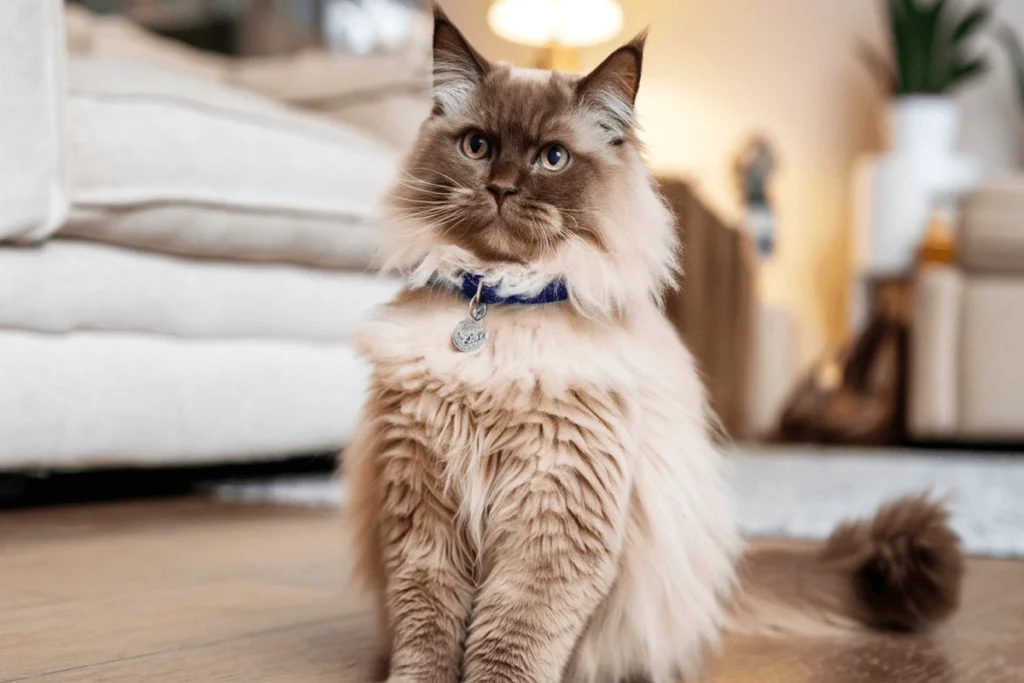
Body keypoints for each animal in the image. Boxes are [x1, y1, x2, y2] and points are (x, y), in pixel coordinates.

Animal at [346, 6, 966, 683]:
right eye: (477, 146)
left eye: (553, 158)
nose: (502, 188)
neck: (499, 304)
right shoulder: (422, 508)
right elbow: (427, 632)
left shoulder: (553, 515)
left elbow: (509, 643)